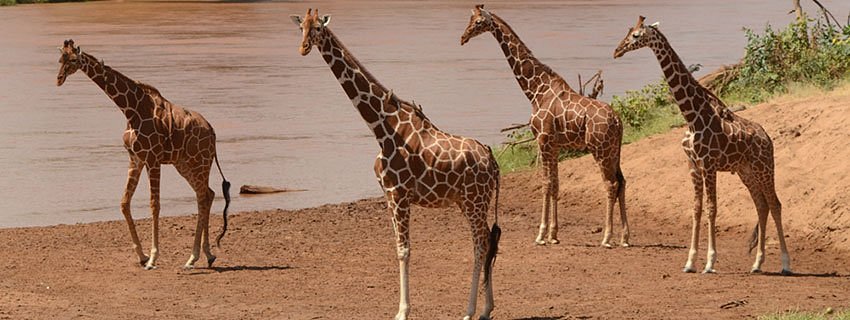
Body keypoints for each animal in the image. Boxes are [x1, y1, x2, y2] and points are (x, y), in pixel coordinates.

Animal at [56, 39, 232, 270]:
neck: (131, 110)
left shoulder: (152, 159)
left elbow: (154, 205)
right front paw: (141, 255)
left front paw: (153, 258)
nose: (59, 79)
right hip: (185, 163)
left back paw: (193, 257)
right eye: (60, 59)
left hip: (199, 162)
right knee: (207, 194)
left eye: (73, 60)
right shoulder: (136, 159)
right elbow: (124, 202)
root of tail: (212, 132)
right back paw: (206, 255)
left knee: (204, 196)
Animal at [292, 9, 500, 320]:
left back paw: (470, 311)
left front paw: (402, 312)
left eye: (317, 27)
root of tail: (492, 160)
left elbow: (404, 250)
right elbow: (398, 249)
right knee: (487, 241)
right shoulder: (389, 195)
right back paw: (486, 309)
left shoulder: (399, 194)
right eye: (301, 28)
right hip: (467, 201)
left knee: (480, 244)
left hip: (476, 200)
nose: (303, 48)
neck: (382, 128)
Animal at [458, 4, 628, 248]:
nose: (463, 37)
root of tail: (617, 120)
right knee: (622, 182)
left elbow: (546, 183)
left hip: (600, 149)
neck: (535, 90)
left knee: (611, 184)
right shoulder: (554, 145)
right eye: (470, 20)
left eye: (479, 22)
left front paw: (540, 235)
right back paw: (625, 237)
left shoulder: (543, 140)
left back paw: (607, 237)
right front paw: (554, 234)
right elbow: (555, 184)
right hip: (615, 150)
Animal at [612, 15, 792, 276]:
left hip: (764, 167)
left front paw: (709, 263)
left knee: (775, 204)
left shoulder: (709, 164)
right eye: (627, 32)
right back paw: (757, 264)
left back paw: (786, 264)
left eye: (636, 35)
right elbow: (696, 209)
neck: (691, 116)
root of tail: (768, 138)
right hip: (746, 171)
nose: (617, 51)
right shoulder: (693, 164)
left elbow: (711, 208)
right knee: (761, 205)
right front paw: (689, 262)